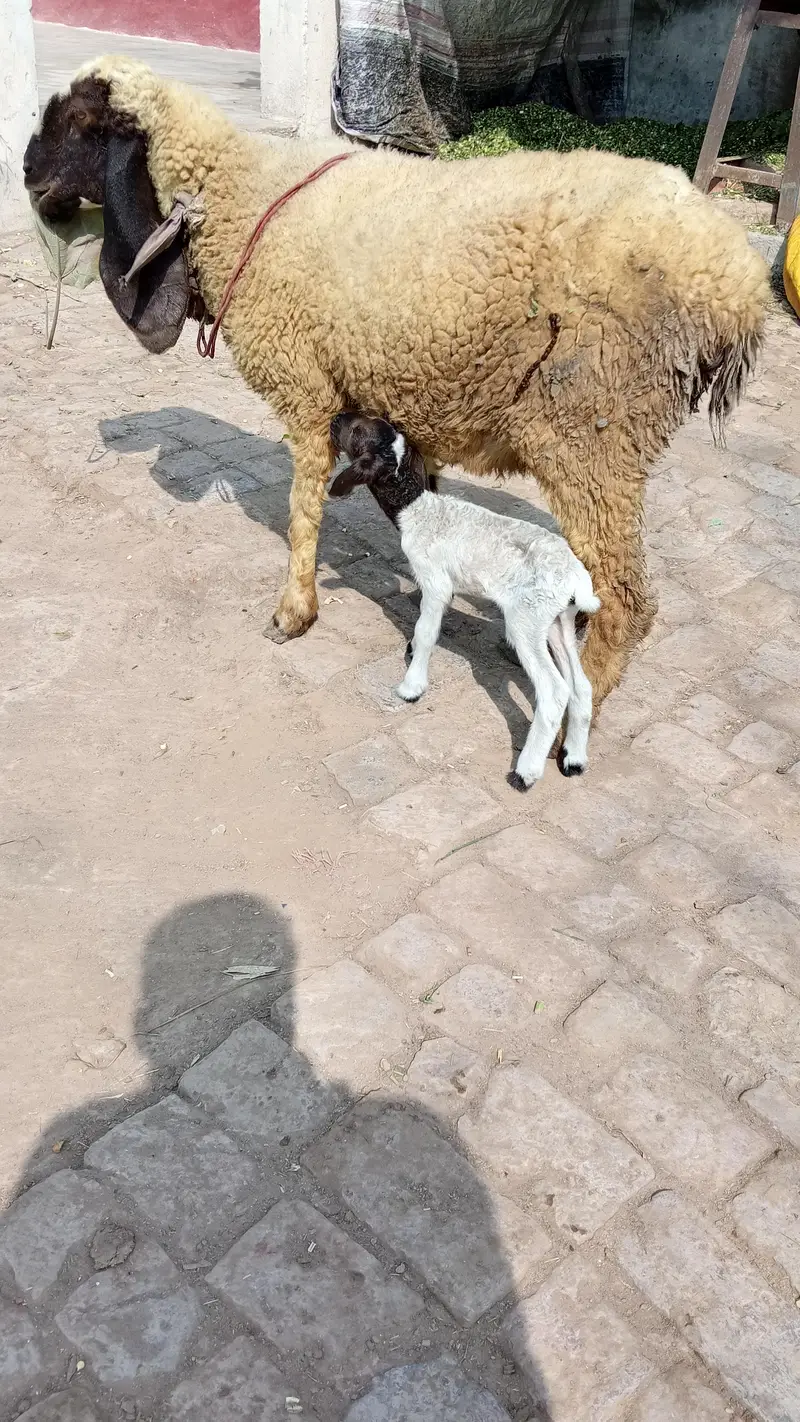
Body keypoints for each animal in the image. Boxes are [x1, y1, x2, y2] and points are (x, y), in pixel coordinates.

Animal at [23, 59, 768, 720]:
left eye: (82, 120)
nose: (26, 172)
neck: (244, 193)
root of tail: (738, 288)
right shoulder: (406, 399)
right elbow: (420, 506)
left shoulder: (307, 391)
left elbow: (303, 512)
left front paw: (293, 613)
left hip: (594, 430)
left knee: (628, 600)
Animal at [329, 412, 600, 789]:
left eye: (356, 432)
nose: (335, 418)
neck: (417, 508)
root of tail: (576, 576)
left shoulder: (435, 582)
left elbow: (427, 632)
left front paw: (412, 686)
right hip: (557, 620)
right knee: (581, 686)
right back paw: (574, 758)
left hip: (526, 620)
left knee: (554, 691)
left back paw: (526, 772)